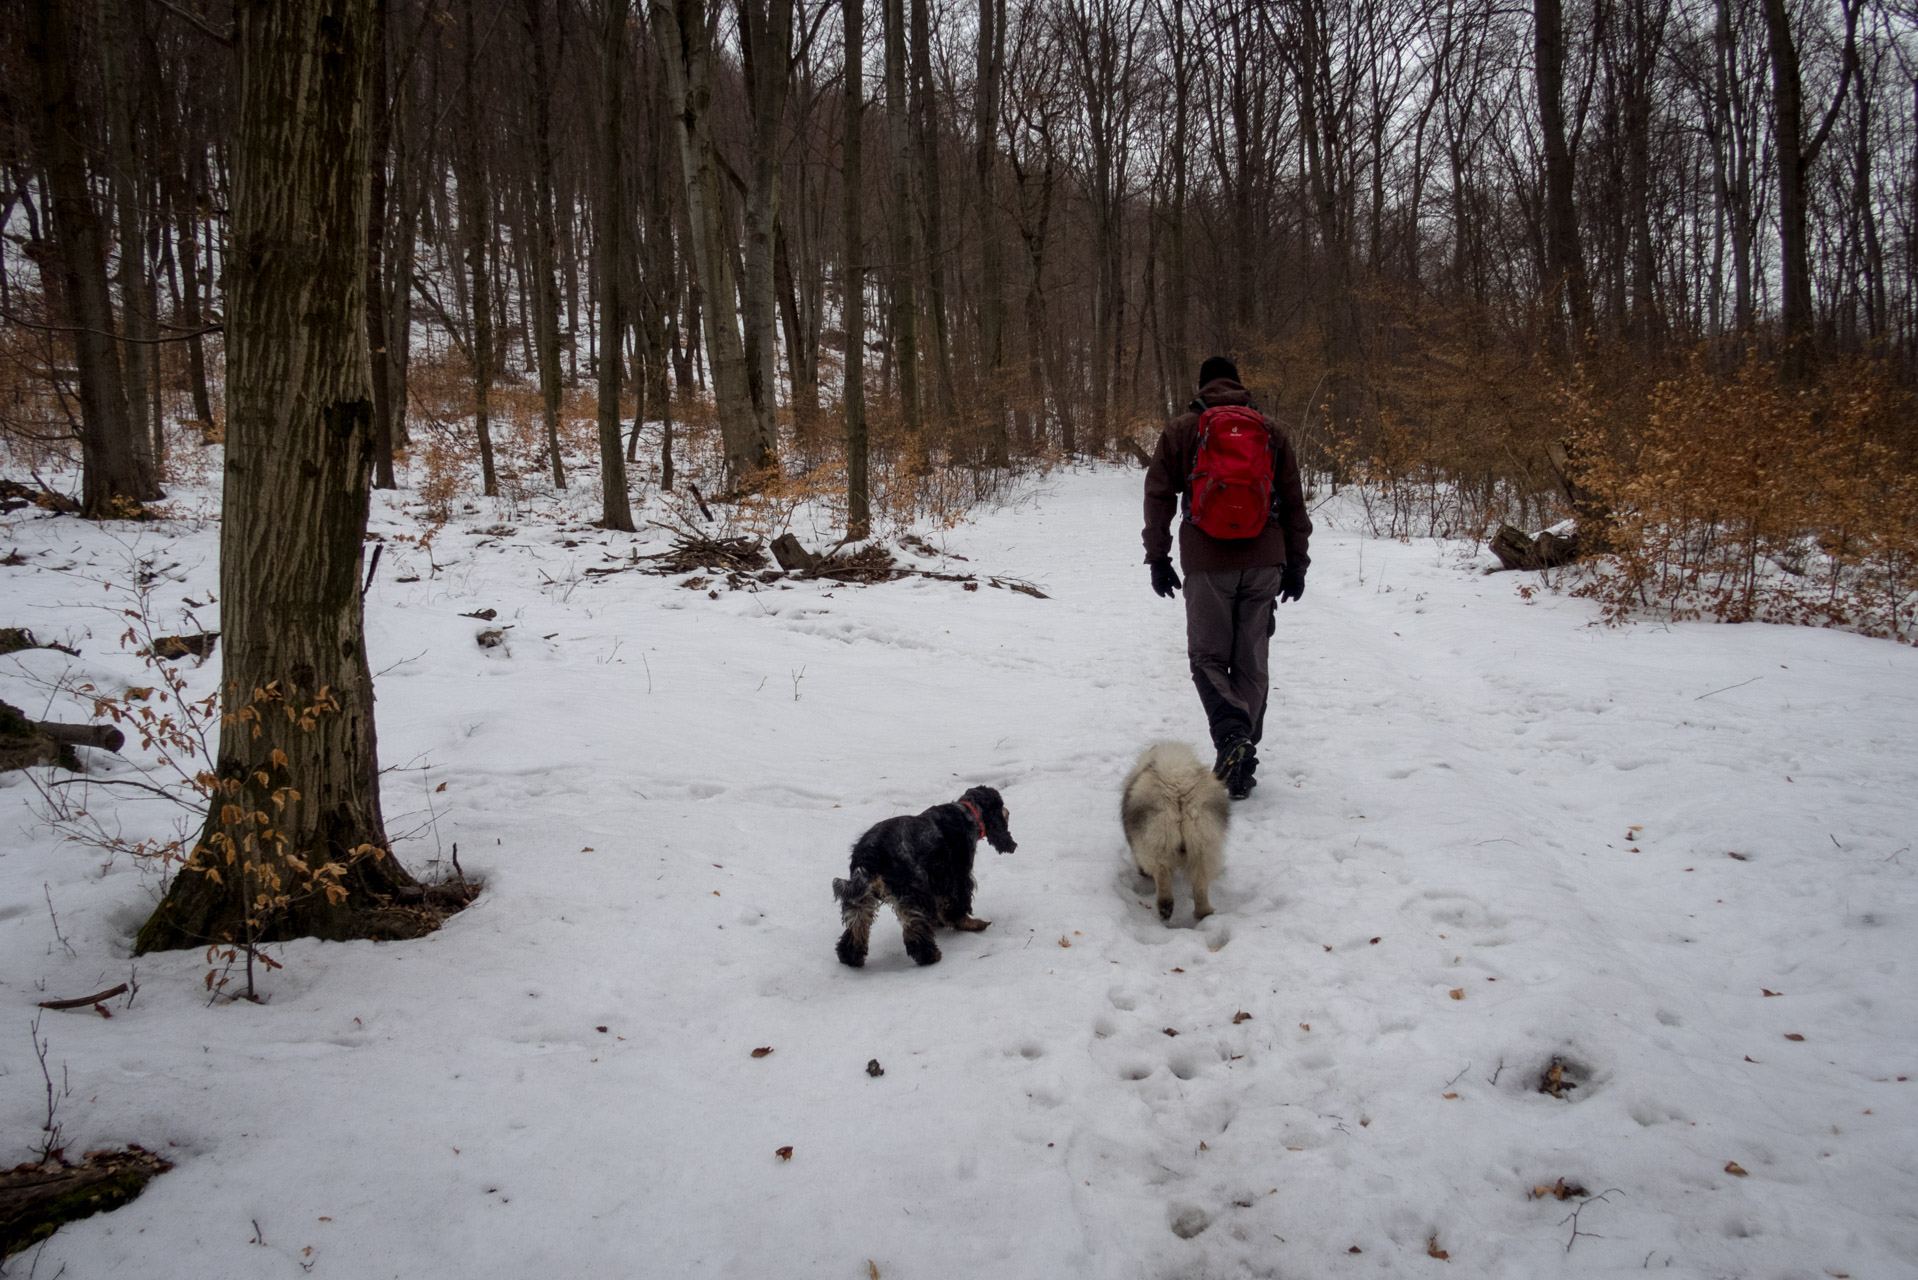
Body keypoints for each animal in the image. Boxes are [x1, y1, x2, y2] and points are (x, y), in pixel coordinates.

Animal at [836, 782, 1020, 971]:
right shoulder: (958, 876)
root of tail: (871, 855)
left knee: (857, 927)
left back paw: (850, 957)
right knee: (914, 929)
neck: (967, 812)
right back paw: (930, 955)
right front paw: (965, 923)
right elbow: (958, 907)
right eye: (1000, 804)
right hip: (914, 891)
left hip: (860, 898)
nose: (1008, 811)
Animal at [1120, 740, 1227, 921]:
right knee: (1200, 885)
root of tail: (1178, 785)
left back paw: (1165, 907)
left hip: (1157, 840)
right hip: (1203, 843)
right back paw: (1204, 913)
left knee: (1162, 872)